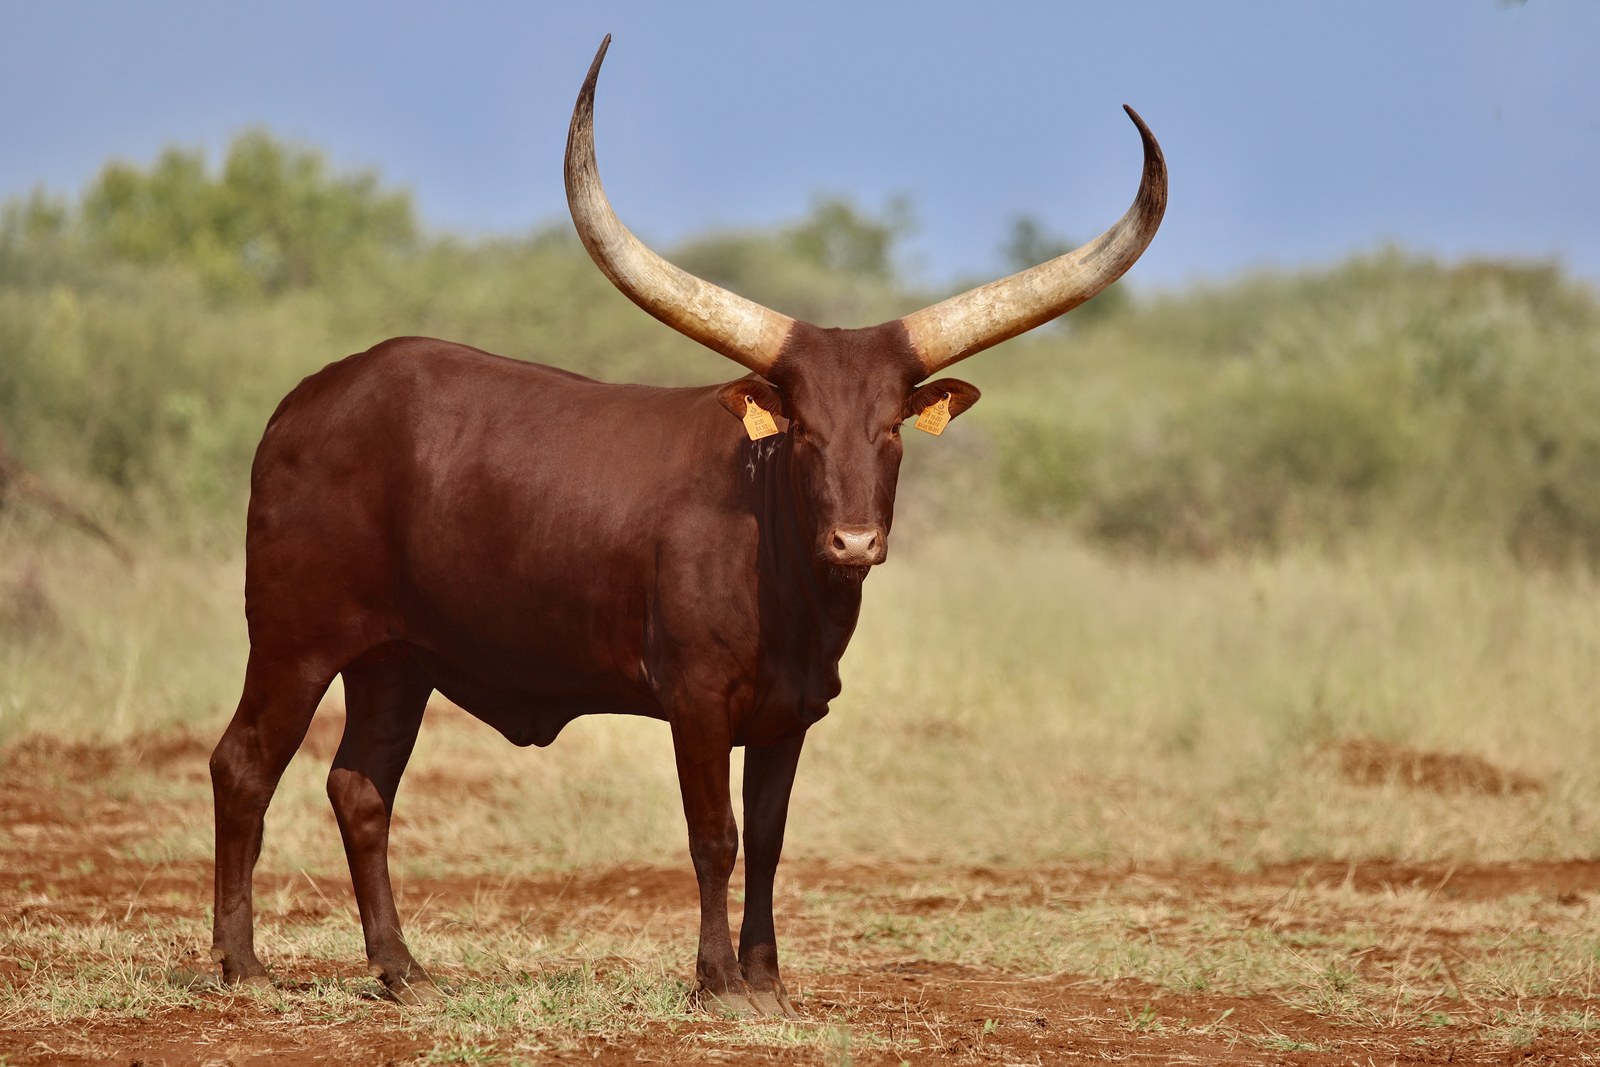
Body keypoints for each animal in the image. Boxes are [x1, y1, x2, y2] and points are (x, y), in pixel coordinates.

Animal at [208, 35, 1166, 1018]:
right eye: (803, 429)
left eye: (891, 430)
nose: (854, 542)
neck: (787, 573)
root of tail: (305, 401)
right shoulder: (697, 700)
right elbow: (716, 835)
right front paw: (717, 982)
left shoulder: (792, 712)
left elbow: (771, 840)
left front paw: (768, 980)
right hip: (293, 638)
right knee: (243, 763)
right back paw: (243, 962)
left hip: (397, 661)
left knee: (360, 786)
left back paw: (402, 968)